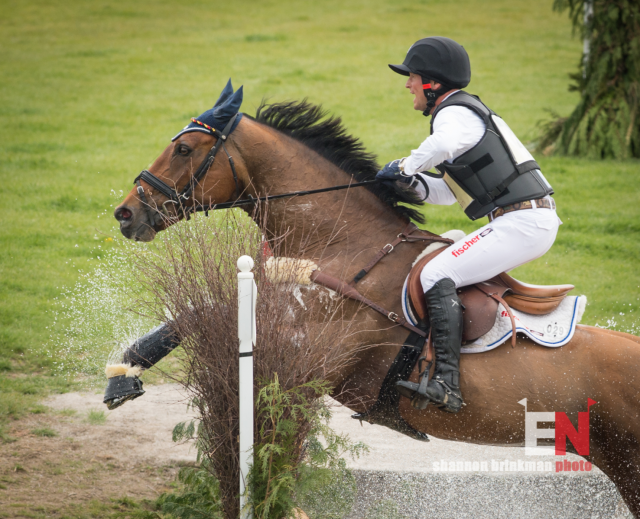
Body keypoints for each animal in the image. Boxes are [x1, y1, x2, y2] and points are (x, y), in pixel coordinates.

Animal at [114, 92, 640, 516]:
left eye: (184, 149)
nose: (125, 212)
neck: (340, 243)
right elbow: (193, 315)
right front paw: (123, 372)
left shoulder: (307, 355)